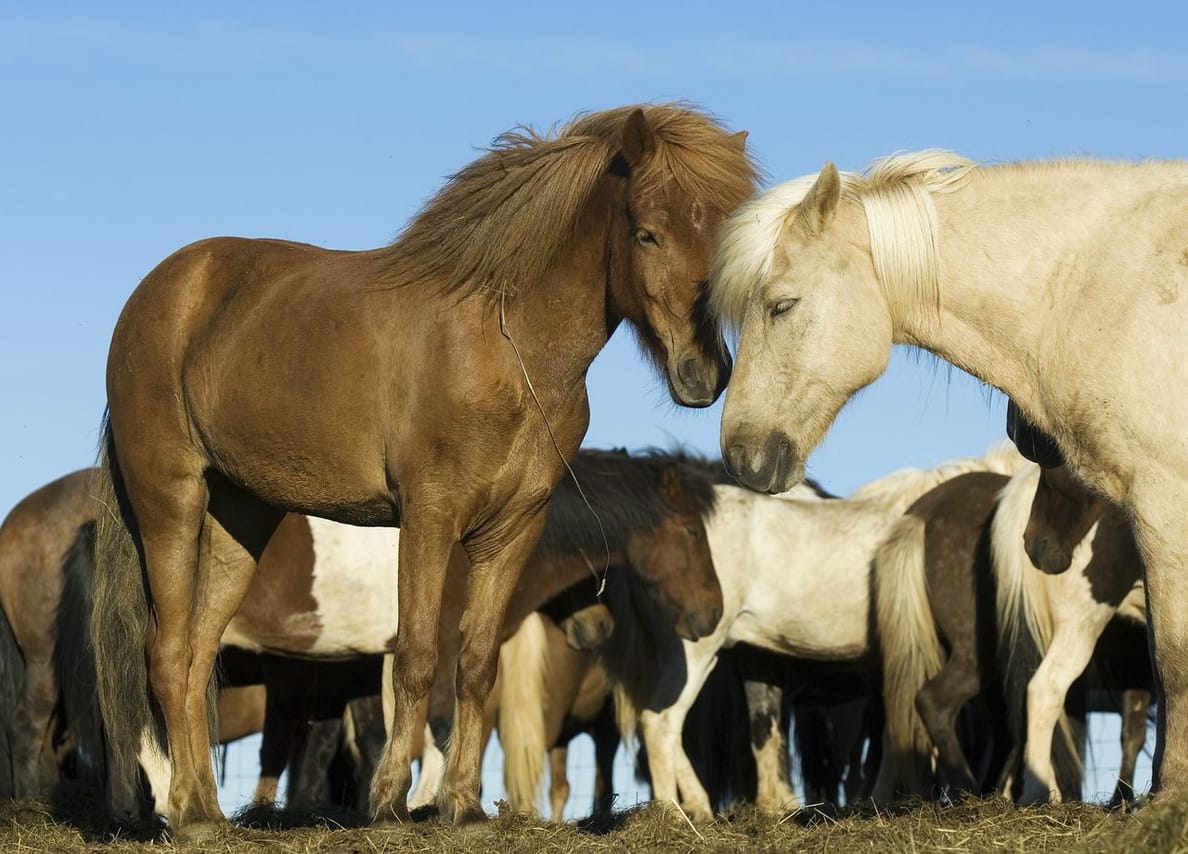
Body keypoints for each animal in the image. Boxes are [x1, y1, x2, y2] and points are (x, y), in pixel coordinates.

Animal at [93, 102, 755, 836]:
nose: (704, 375)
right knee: (167, 651)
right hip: (171, 501)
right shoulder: (429, 517)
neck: (506, 348)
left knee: (198, 655)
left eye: (722, 241)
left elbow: (476, 665)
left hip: (242, 518)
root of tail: (160, 292)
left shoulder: (513, 530)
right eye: (646, 233)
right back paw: (189, 815)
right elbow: (415, 661)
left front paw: (461, 804)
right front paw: (388, 800)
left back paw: (206, 807)